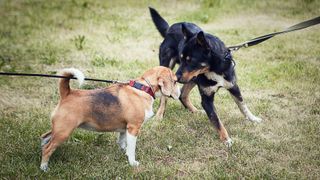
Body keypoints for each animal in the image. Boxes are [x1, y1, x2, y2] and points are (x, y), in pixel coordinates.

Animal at [39, 66, 180, 172]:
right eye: (175, 81)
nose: (179, 94)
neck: (144, 88)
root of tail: (67, 93)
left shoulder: (124, 129)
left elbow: (123, 143)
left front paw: (125, 154)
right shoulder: (133, 128)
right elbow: (131, 148)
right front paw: (132, 162)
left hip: (59, 129)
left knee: (44, 138)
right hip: (64, 131)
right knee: (47, 149)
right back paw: (44, 167)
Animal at [149, 7, 262, 147]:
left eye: (190, 60)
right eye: (181, 57)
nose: (176, 78)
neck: (214, 68)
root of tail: (170, 28)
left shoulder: (233, 86)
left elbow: (242, 106)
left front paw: (253, 118)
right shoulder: (207, 99)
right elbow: (217, 120)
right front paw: (226, 139)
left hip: (192, 78)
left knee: (182, 94)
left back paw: (195, 111)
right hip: (170, 66)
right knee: (165, 97)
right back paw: (159, 115)